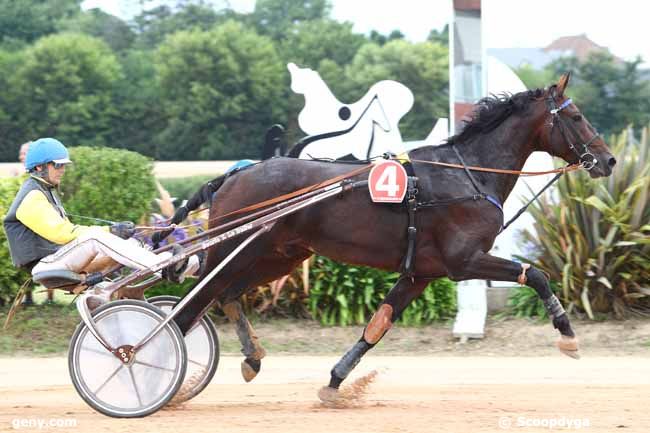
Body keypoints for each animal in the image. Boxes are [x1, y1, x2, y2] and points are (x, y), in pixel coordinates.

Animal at [166, 74, 612, 402]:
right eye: (576, 116)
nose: (608, 160)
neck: (468, 175)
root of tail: (234, 174)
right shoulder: (463, 261)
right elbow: (535, 275)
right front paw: (568, 336)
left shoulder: (421, 274)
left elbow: (377, 325)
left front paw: (335, 383)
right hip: (235, 250)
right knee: (192, 305)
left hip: (279, 256)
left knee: (225, 295)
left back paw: (251, 358)